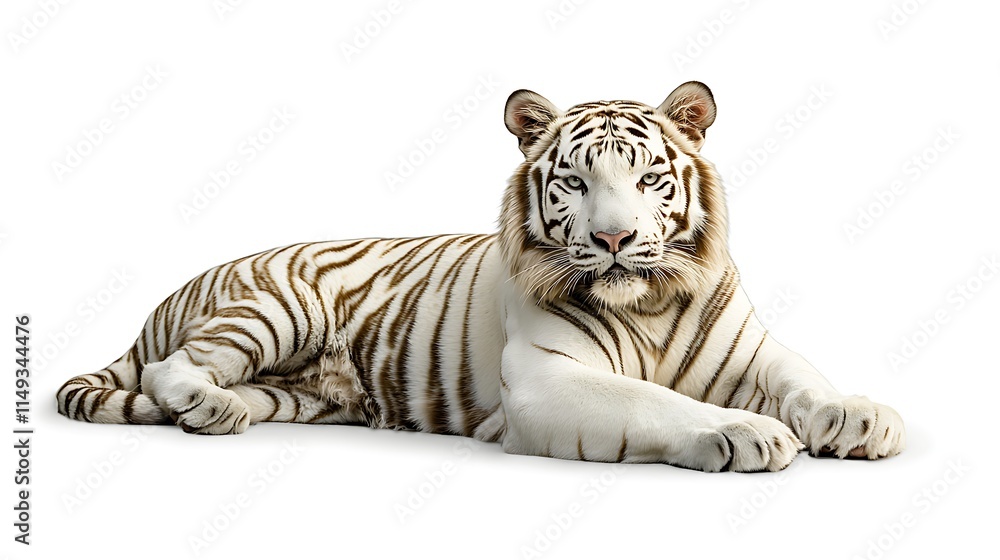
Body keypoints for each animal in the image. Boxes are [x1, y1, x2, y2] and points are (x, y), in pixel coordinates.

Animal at [57, 81, 905, 472]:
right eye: (574, 181)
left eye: (649, 178)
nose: (615, 237)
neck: (651, 305)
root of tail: (164, 299)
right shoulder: (547, 379)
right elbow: (656, 401)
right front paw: (746, 432)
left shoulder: (752, 353)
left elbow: (805, 379)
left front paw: (860, 417)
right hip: (270, 309)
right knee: (173, 367)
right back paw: (207, 406)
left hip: (294, 393)